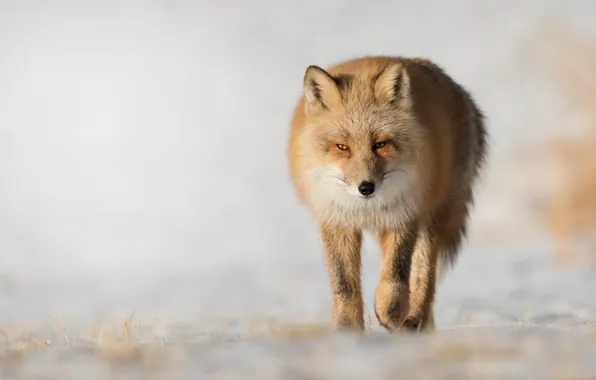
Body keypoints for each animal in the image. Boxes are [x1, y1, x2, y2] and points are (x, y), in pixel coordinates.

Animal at [286, 55, 486, 332]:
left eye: (380, 144)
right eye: (342, 147)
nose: (366, 187)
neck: (367, 209)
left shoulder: (404, 215)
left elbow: (395, 277)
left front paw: (390, 314)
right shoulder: (337, 220)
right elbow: (344, 284)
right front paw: (347, 331)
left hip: (433, 219)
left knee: (424, 277)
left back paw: (414, 323)